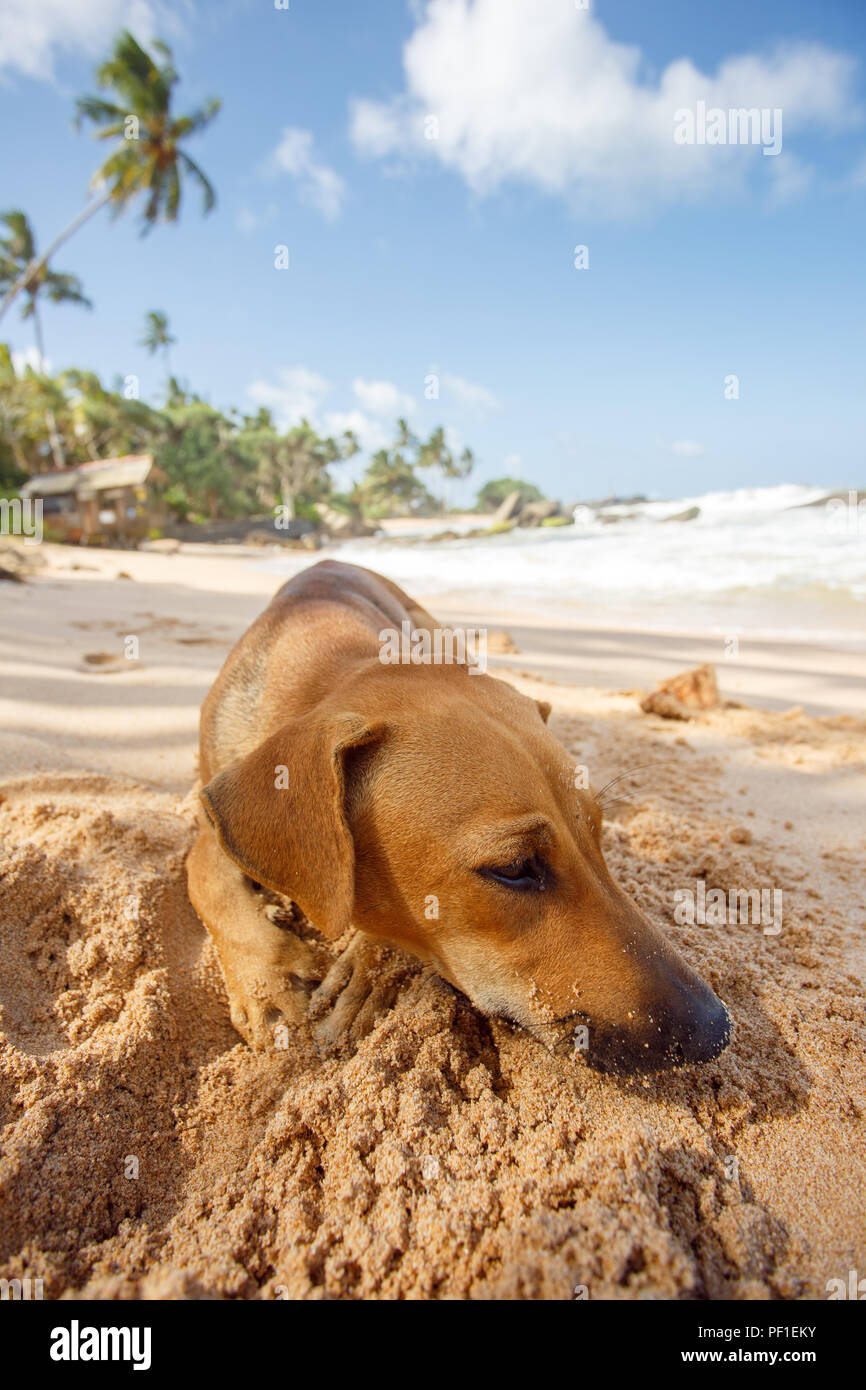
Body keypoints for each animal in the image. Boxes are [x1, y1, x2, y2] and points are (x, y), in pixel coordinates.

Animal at [189, 561, 733, 1073]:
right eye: (513, 868)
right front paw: (269, 981)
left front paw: (368, 967)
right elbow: (205, 875)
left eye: (599, 837)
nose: (716, 1029)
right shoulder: (213, 813)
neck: (321, 671)